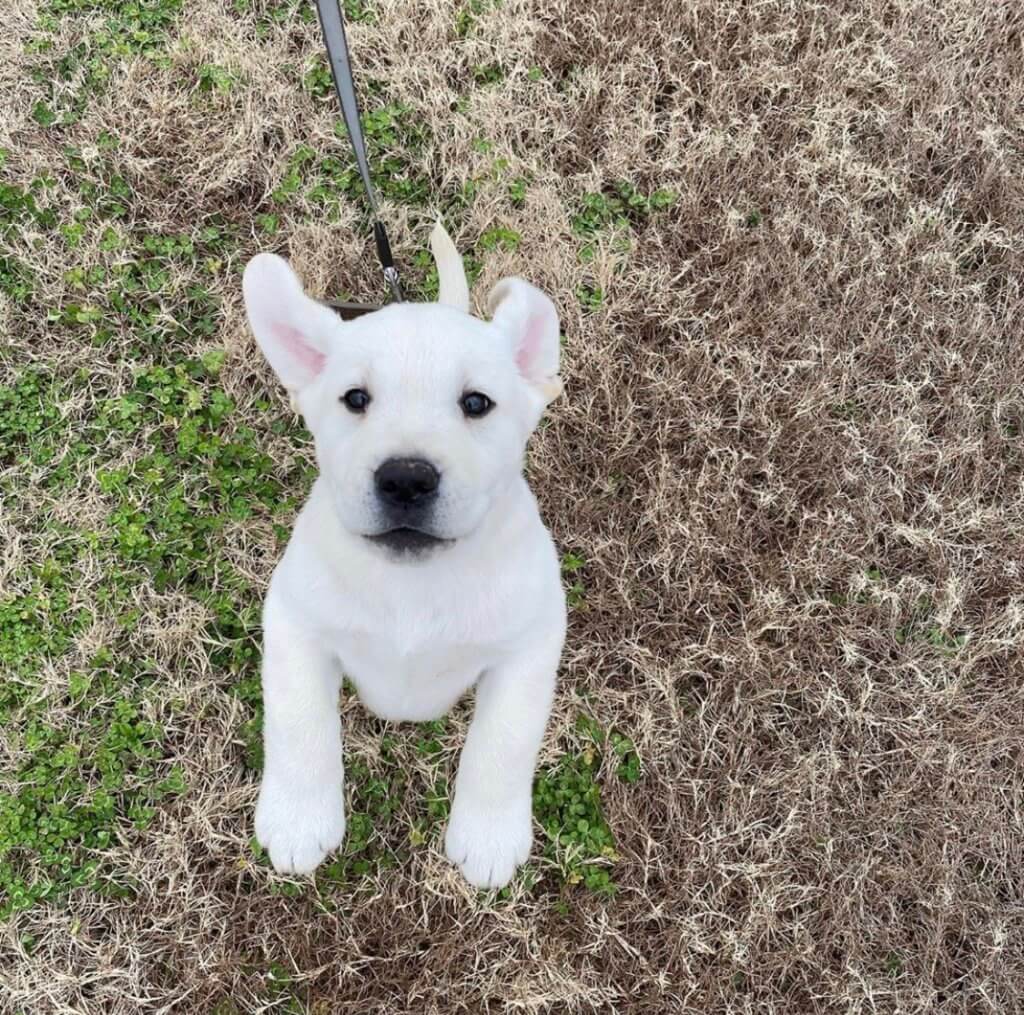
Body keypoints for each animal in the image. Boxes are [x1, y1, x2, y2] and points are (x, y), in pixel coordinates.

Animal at [241, 224, 569, 889]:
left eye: (477, 404)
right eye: (354, 398)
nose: (406, 480)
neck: (415, 586)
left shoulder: (532, 643)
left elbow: (504, 741)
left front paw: (488, 835)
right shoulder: (293, 624)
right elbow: (298, 723)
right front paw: (298, 819)